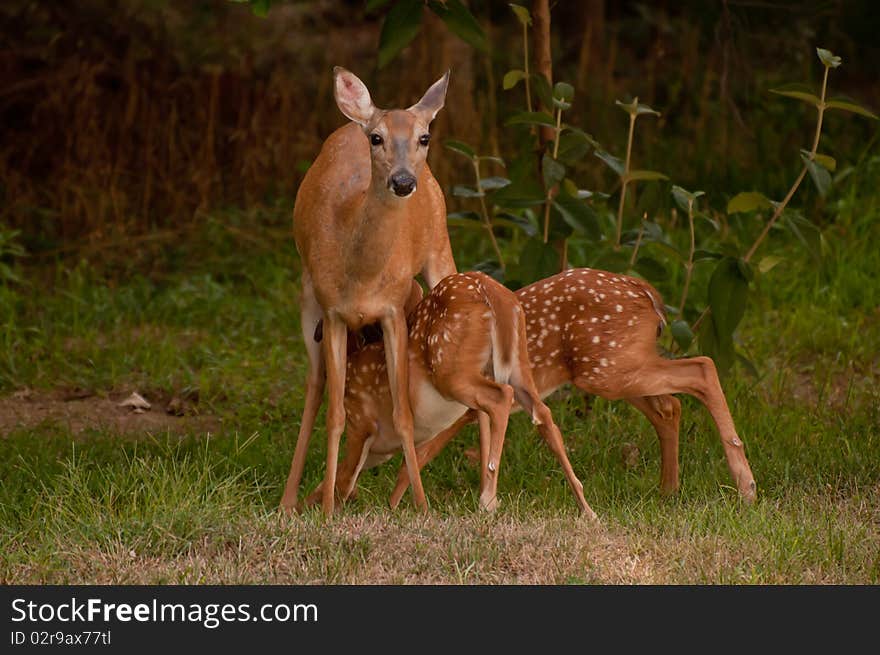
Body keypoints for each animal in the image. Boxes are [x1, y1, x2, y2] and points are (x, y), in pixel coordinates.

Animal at [280, 68, 460, 516]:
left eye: (424, 137)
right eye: (376, 138)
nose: (403, 181)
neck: (361, 278)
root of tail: (350, 123)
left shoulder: (393, 311)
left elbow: (403, 413)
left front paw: (421, 505)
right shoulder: (333, 314)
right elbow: (335, 415)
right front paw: (328, 507)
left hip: (439, 249)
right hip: (307, 298)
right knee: (314, 386)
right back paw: (291, 500)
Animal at [304, 272, 600, 516]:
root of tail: (494, 292)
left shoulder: (361, 422)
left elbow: (342, 480)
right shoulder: (386, 446)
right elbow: (400, 468)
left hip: (451, 371)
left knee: (500, 397)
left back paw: (488, 498)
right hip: (518, 364)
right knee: (543, 414)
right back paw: (587, 509)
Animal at [384, 266, 756, 508]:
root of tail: (647, 294)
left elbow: (417, 455)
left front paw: (396, 506)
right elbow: (422, 452)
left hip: (607, 369)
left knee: (703, 368)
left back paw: (746, 488)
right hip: (616, 366)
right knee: (670, 406)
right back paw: (668, 490)